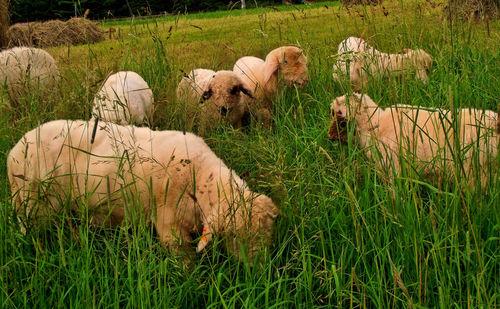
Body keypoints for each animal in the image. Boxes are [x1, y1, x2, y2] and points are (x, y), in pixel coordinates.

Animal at [7, 119, 280, 262]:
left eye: (268, 232)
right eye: (234, 237)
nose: (259, 272)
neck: (202, 177)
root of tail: (14, 152)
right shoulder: (169, 226)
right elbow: (185, 262)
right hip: (32, 206)